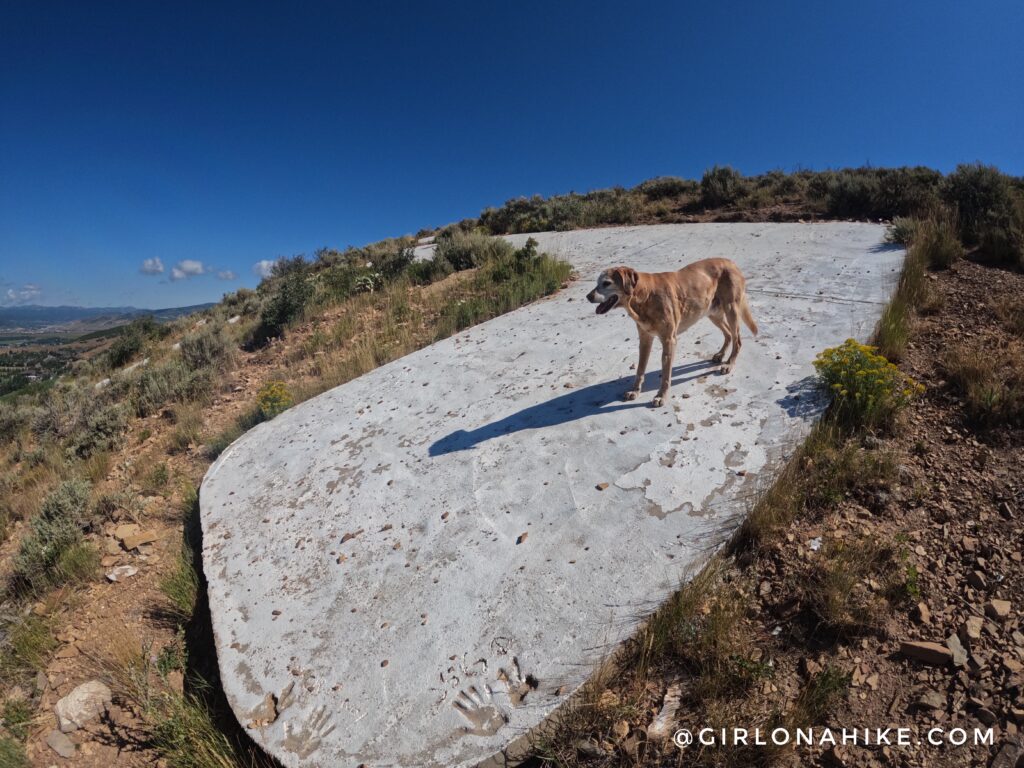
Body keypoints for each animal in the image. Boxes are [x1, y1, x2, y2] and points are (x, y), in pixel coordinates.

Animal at [589, 259, 757, 405]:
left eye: (606, 283)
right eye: (597, 283)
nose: (588, 296)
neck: (645, 295)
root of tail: (731, 262)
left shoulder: (669, 340)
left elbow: (665, 375)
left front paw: (661, 396)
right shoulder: (645, 340)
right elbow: (640, 369)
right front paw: (635, 391)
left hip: (731, 310)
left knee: (737, 339)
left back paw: (729, 363)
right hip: (712, 313)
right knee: (728, 333)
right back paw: (721, 355)